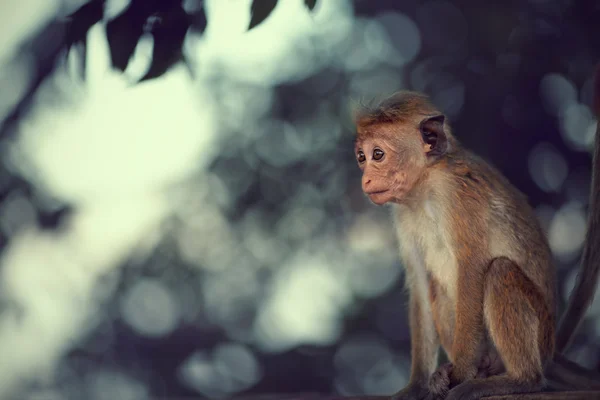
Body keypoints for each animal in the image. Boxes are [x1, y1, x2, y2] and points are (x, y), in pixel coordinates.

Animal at [352, 65, 600, 400]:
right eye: (361, 157)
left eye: (378, 154)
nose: (365, 180)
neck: (425, 187)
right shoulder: (403, 215)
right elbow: (420, 285)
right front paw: (416, 386)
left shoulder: (457, 195)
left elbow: (472, 268)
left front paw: (461, 372)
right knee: (437, 286)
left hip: (540, 338)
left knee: (499, 272)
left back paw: (518, 380)